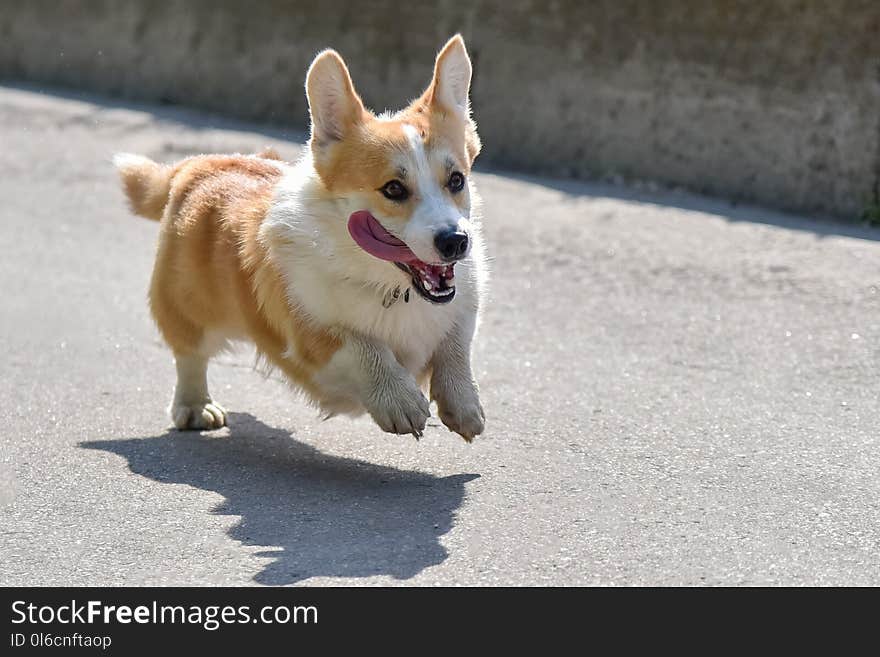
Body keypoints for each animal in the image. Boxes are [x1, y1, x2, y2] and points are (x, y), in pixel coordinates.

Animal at [114, 38, 488, 444]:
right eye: (393, 189)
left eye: (456, 180)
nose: (455, 241)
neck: (390, 286)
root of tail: (198, 164)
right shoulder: (311, 336)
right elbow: (362, 346)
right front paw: (398, 400)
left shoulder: (462, 311)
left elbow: (456, 347)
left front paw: (465, 405)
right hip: (187, 303)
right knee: (189, 353)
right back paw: (195, 406)